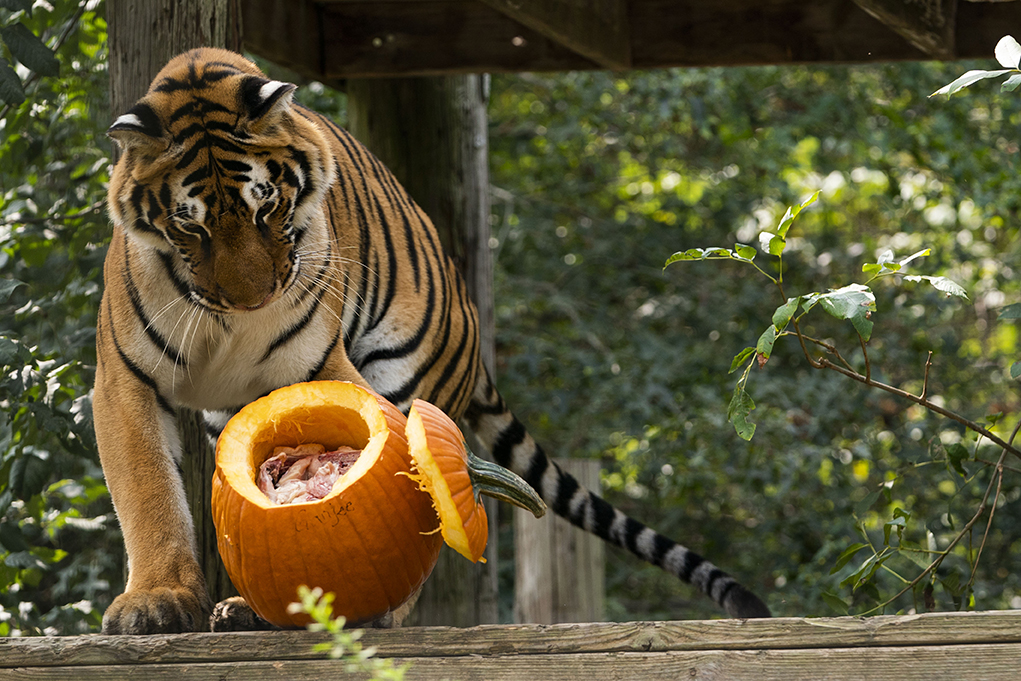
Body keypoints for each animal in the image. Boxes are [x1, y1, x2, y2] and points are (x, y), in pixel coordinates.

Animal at [95, 46, 767, 633]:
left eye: (267, 208)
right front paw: (156, 599)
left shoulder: (317, 365)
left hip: (411, 372)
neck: (223, 324)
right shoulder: (124, 382)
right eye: (192, 225)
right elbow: (149, 494)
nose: (252, 300)